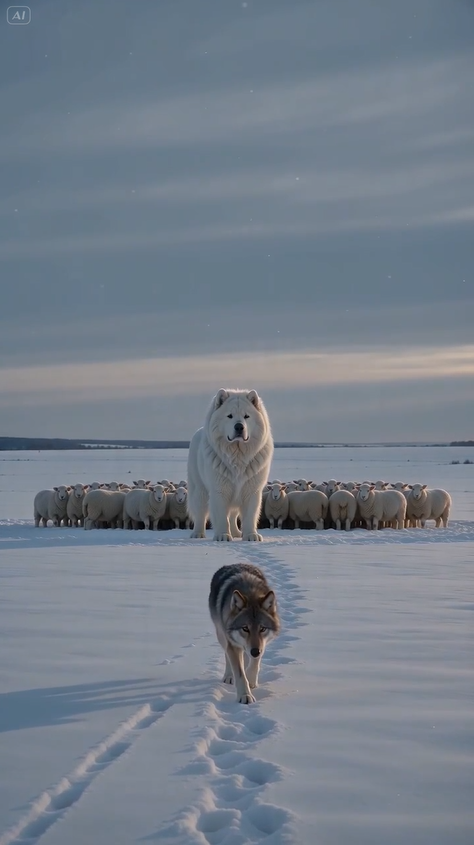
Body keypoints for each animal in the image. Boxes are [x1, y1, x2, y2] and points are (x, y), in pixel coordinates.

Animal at [187, 388, 274, 541]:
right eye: (229, 416)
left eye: (246, 416)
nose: (239, 427)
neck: (237, 455)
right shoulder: (219, 490)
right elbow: (222, 517)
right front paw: (223, 536)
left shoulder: (252, 490)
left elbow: (250, 515)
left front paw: (251, 535)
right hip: (200, 490)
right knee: (200, 513)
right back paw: (198, 534)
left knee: (233, 516)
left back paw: (236, 533)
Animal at [209, 563, 281, 704]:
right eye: (245, 628)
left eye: (262, 629)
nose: (255, 651)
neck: (250, 591)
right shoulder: (233, 644)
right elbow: (240, 674)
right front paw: (245, 696)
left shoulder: (261, 645)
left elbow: (254, 664)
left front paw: (251, 680)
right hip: (222, 635)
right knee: (227, 654)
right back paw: (229, 676)